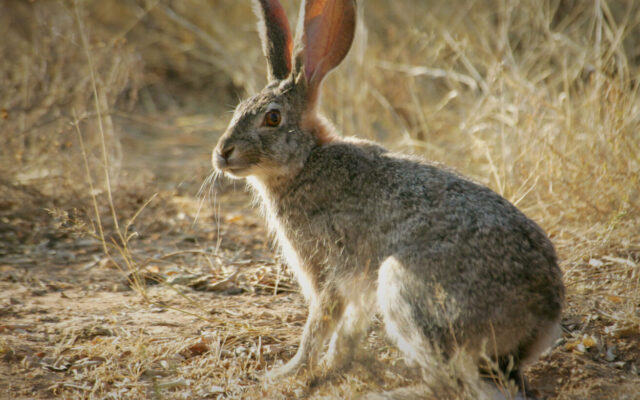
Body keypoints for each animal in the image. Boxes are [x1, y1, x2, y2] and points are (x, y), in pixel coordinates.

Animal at [212, 0, 564, 395]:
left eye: (273, 118)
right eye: (239, 109)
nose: (222, 153)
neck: (305, 161)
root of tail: (540, 319)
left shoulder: (329, 268)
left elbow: (319, 322)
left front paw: (287, 372)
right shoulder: (358, 287)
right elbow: (349, 328)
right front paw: (335, 363)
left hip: (405, 288)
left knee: (448, 383)